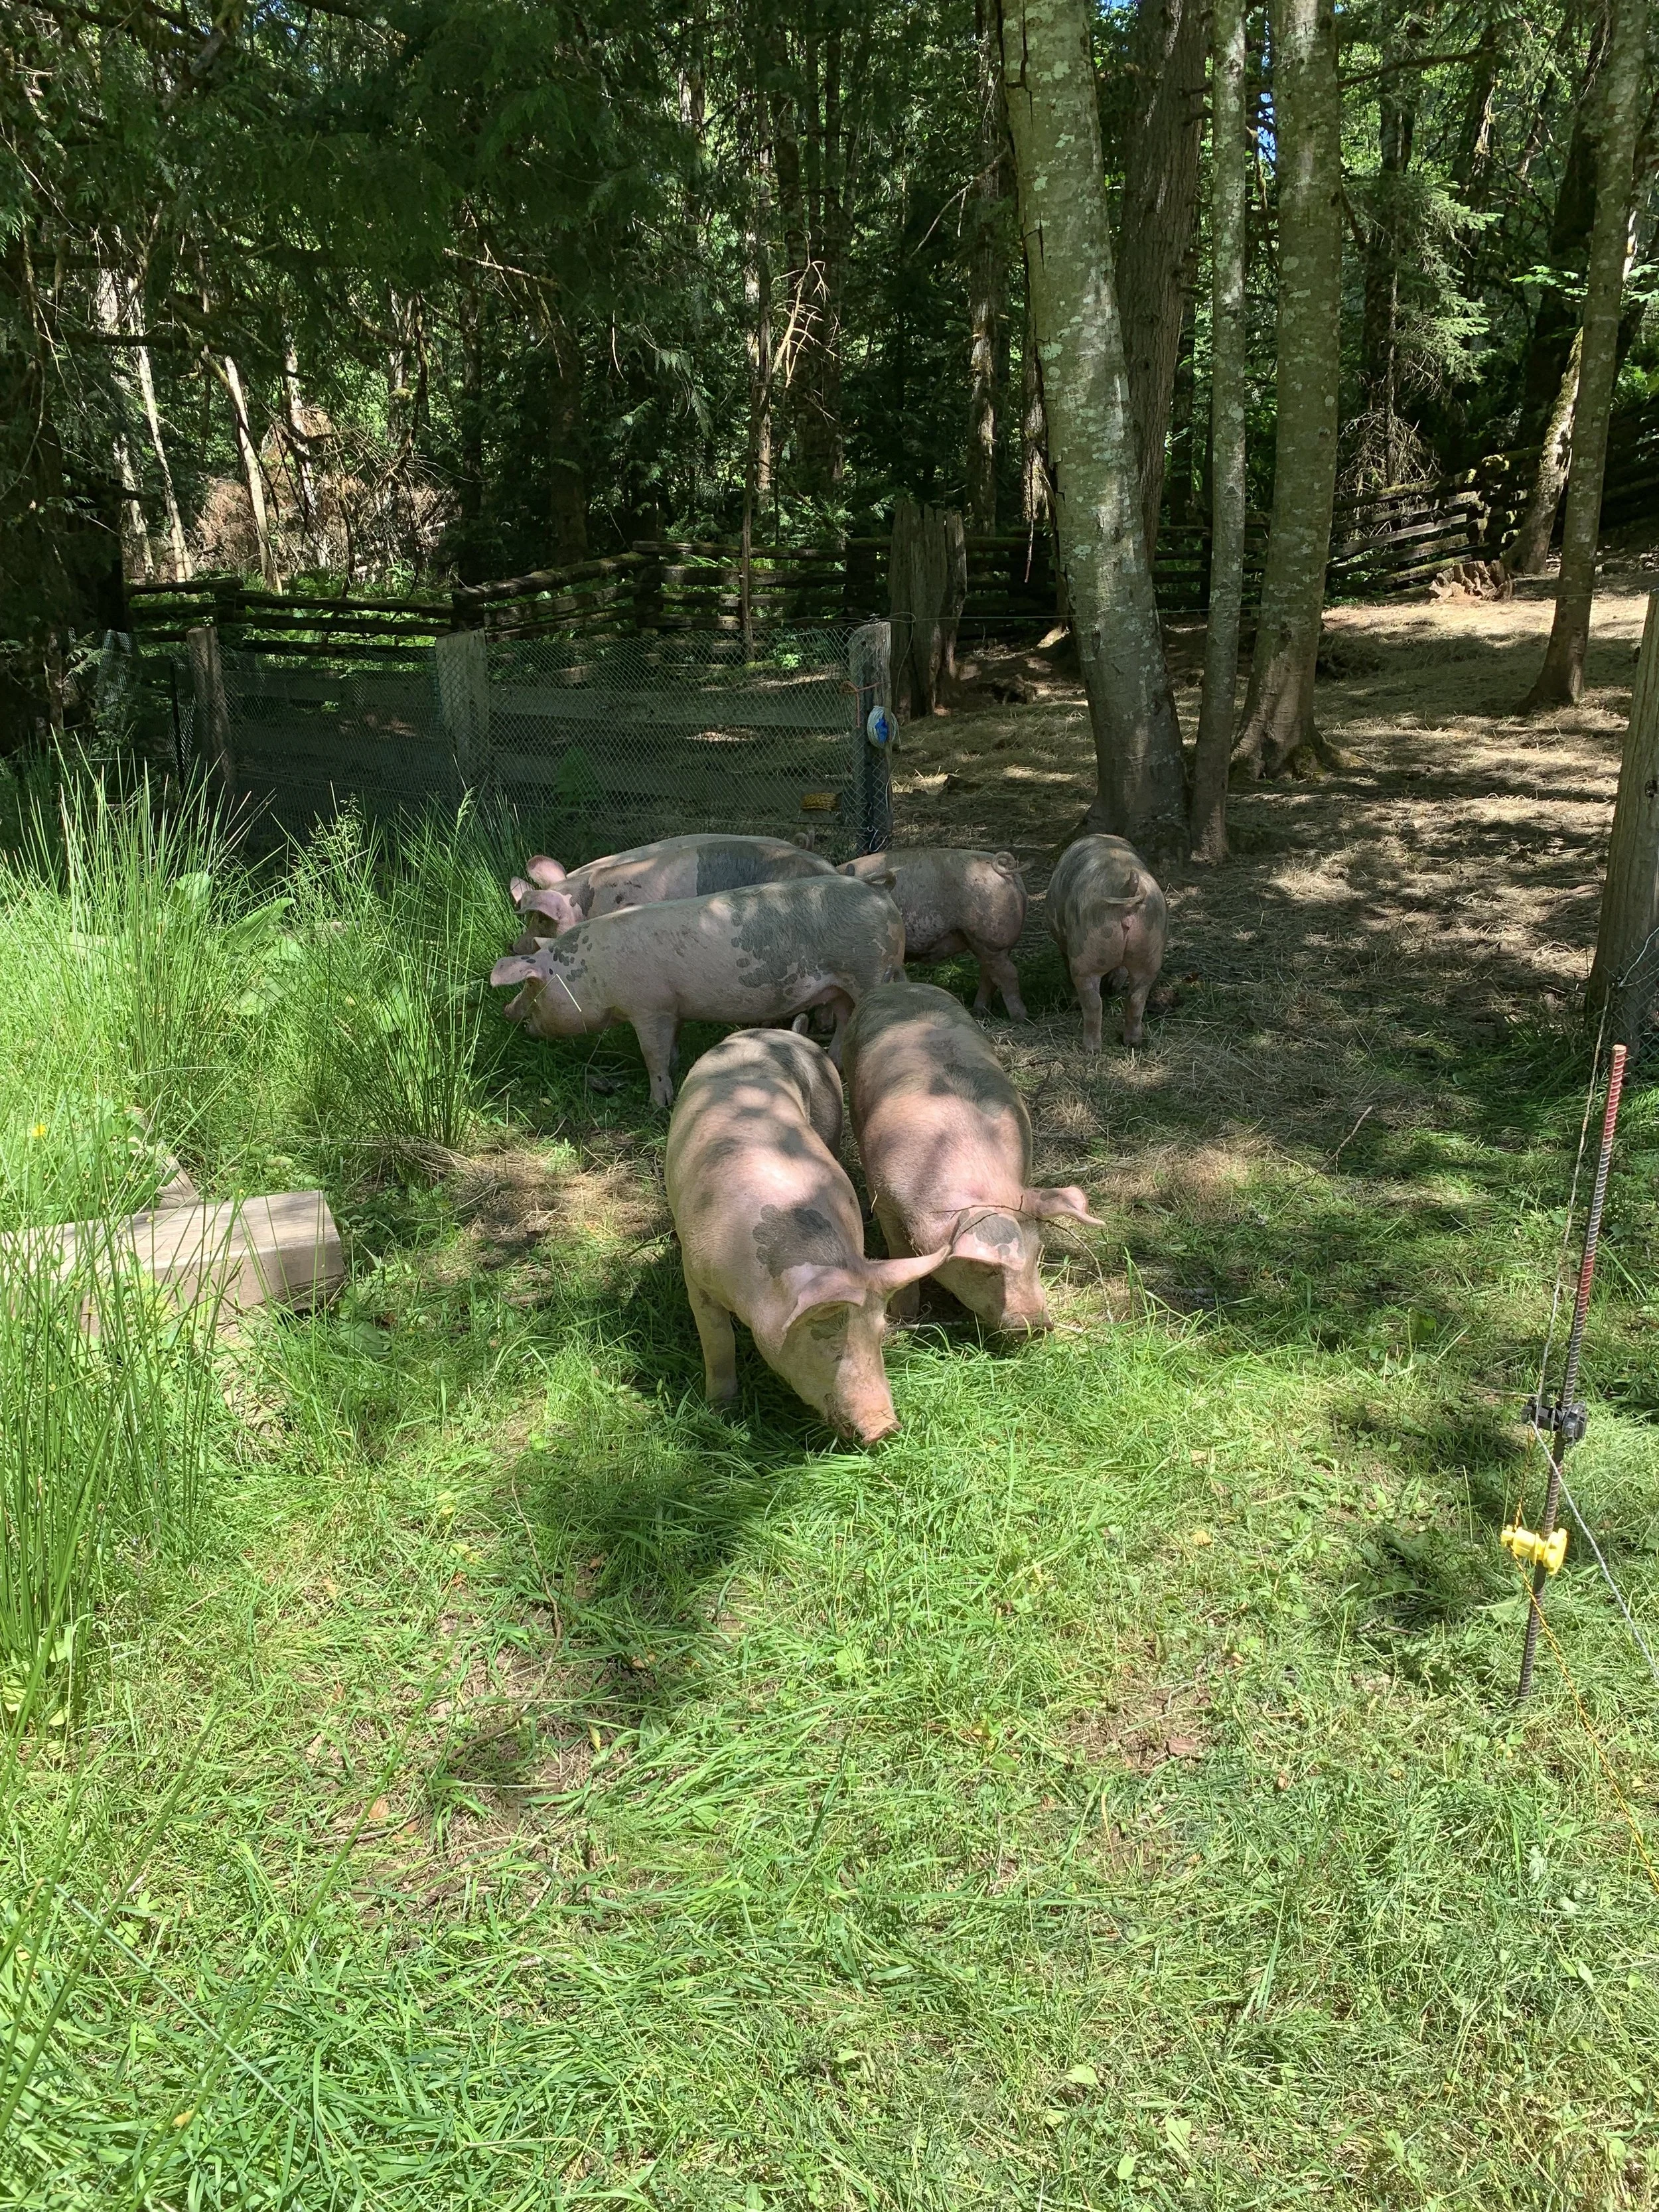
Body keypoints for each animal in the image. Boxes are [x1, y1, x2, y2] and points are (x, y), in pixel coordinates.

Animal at [488, 873, 905, 1108]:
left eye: (532, 985)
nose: (507, 1012)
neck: (594, 973)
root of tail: (878, 891)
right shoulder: (671, 1008)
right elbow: (670, 1047)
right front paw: (675, 1070)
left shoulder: (649, 1008)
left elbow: (652, 1055)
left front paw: (660, 1104)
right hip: (840, 987)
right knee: (843, 1020)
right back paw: (835, 1062)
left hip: (869, 971)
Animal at [666, 1027, 946, 1443]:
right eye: (827, 1343)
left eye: (879, 1336)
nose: (885, 1428)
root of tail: (778, 1032)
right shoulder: (697, 1275)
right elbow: (718, 1344)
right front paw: (720, 1411)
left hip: (832, 1114)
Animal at [838, 847, 1029, 1020]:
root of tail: (1005, 870)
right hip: (981, 944)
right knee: (989, 974)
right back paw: (979, 1011)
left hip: (990, 941)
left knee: (1008, 974)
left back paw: (1019, 1017)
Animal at [842, 982, 1102, 1334]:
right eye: (987, 1269)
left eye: (1037, 1253)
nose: (1038, 1325)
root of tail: (899, 985)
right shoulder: (884, 1199)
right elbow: (899, 1253)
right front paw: (903, 1320)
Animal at [1044, 834, 1168, 1049]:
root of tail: (1127, 886)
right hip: (1150, 951)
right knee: (1136, 998)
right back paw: (1132, 1042)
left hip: (1086, 955)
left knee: (1093, 1002)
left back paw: (1090, 1048)